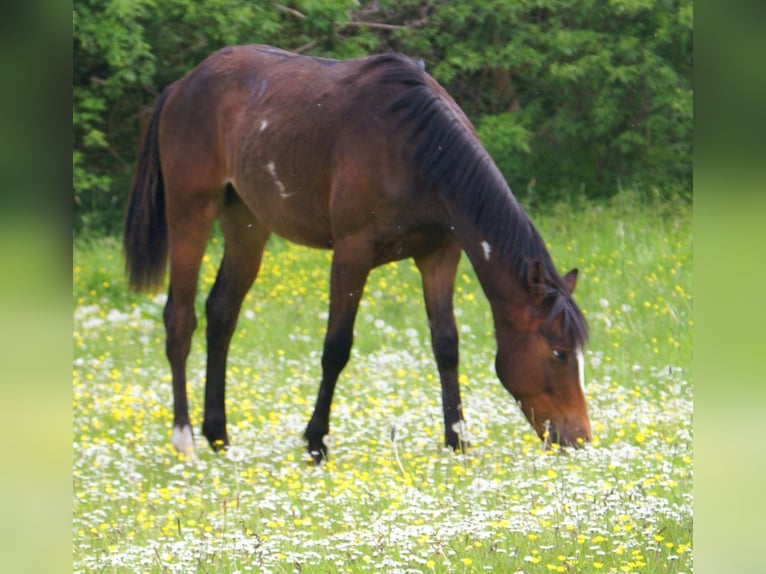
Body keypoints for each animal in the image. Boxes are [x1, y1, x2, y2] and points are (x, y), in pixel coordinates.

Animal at [124, 45, 590, 463]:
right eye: (558, 352)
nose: (581, 438)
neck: (416, 150)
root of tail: (182, 86)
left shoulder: (439, 257)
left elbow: (446, 344)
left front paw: (456, 439)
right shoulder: (351, 253)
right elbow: (336, 347)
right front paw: (316, 442)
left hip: (247, 225)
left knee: (222, 314)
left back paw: (218, 434)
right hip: (190, 213)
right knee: (180, 320)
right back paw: (184, 438)